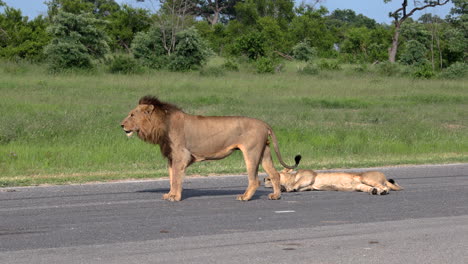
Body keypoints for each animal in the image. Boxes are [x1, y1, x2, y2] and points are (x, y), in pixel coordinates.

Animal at [120, 96, 300, 201]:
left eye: (132, 115)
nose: (121, 125)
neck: (162, 124)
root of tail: (264, 124)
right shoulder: (171, 157)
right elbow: (172, 178)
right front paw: (170, 194)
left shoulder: (181, 156)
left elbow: (177, 178)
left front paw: (175, 197)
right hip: (264, 153)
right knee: (275, 174)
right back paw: (276, 196)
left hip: (251, 153)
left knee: (254, 180)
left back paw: (244, 197)